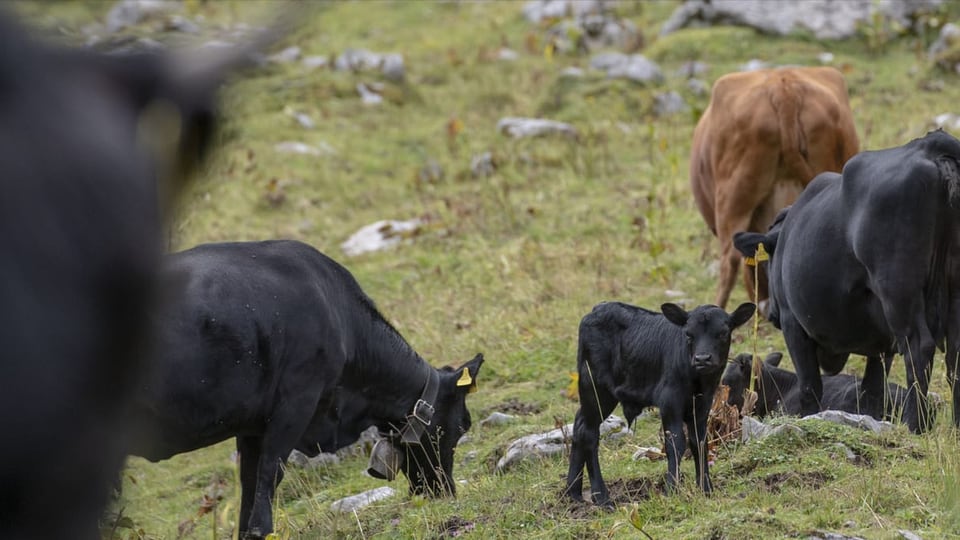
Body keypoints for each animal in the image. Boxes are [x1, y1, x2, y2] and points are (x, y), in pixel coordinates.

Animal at [127, 242, 484, 540]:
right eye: (462, 425)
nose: (446, 491)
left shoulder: (252, 424)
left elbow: (249, 483)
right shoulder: (297, 402)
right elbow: (270, 474)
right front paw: (262, 531)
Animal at [564, 300, 756, 506]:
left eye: (723, 333)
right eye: (688, 334)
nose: (702, 359)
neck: (698, 381)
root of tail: (598, 308)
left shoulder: (702, 406)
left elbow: (700, 442)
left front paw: (706, 489)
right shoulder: (669, 402)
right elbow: (676, 444)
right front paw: (672, 490)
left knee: (579, 425)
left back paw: (573, 493)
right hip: (595, 388)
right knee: (589, 433)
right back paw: (601, 497)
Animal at [736, 132, 960, 434]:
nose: (771, 312)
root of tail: (932, 145)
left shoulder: (794, 325)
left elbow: (810, 386)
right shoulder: (881, 341)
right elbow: (871, 389)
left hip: (899, 292)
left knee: (919, 349)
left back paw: (915, 426)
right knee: (954, 354)